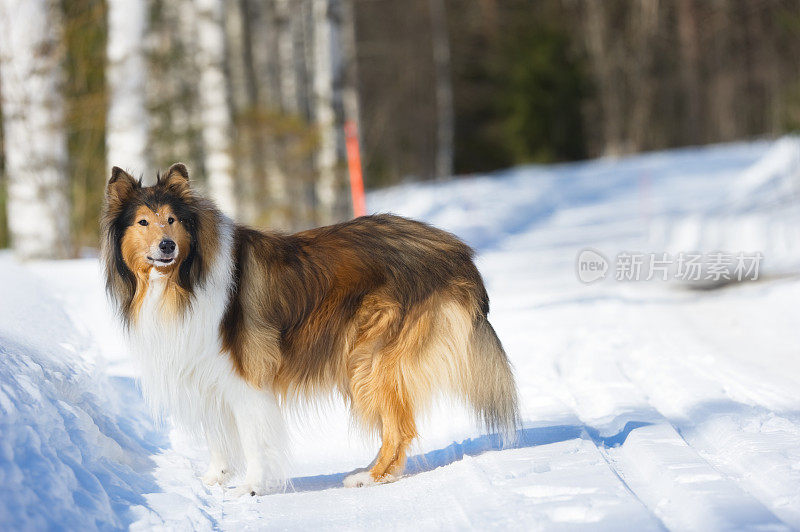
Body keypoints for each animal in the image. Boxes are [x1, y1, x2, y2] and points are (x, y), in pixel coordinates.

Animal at [101, 164, 520, 496]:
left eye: (171, 220)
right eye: (142, 222)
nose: (166, 246)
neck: (182, 280)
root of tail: (458, 252)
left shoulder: (245, 378)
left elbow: (252, 440)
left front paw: (250, 488)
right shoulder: (204, 374)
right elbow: (218, 438)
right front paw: (212, 482)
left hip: (372, 360)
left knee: (399, 428)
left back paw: (371, 477)